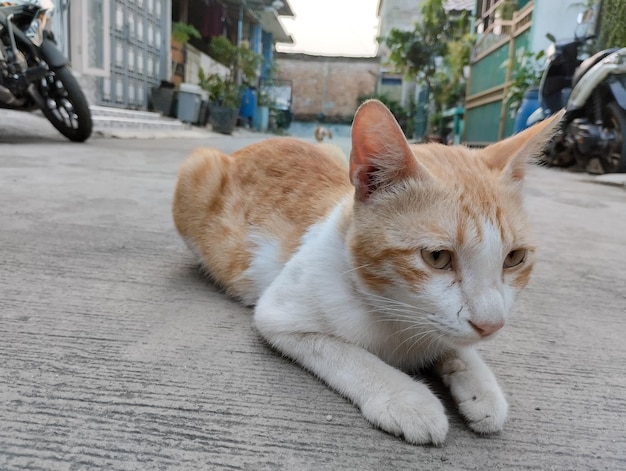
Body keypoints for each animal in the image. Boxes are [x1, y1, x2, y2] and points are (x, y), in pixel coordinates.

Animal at [171, 100, 560, 446]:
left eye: (514, 258)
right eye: (437, 257)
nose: (491, 326)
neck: (396, 313)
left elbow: (458, 347)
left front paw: (479, 386)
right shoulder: (280, 315)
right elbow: (350, 355)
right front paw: (406, 398)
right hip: (197, 170)